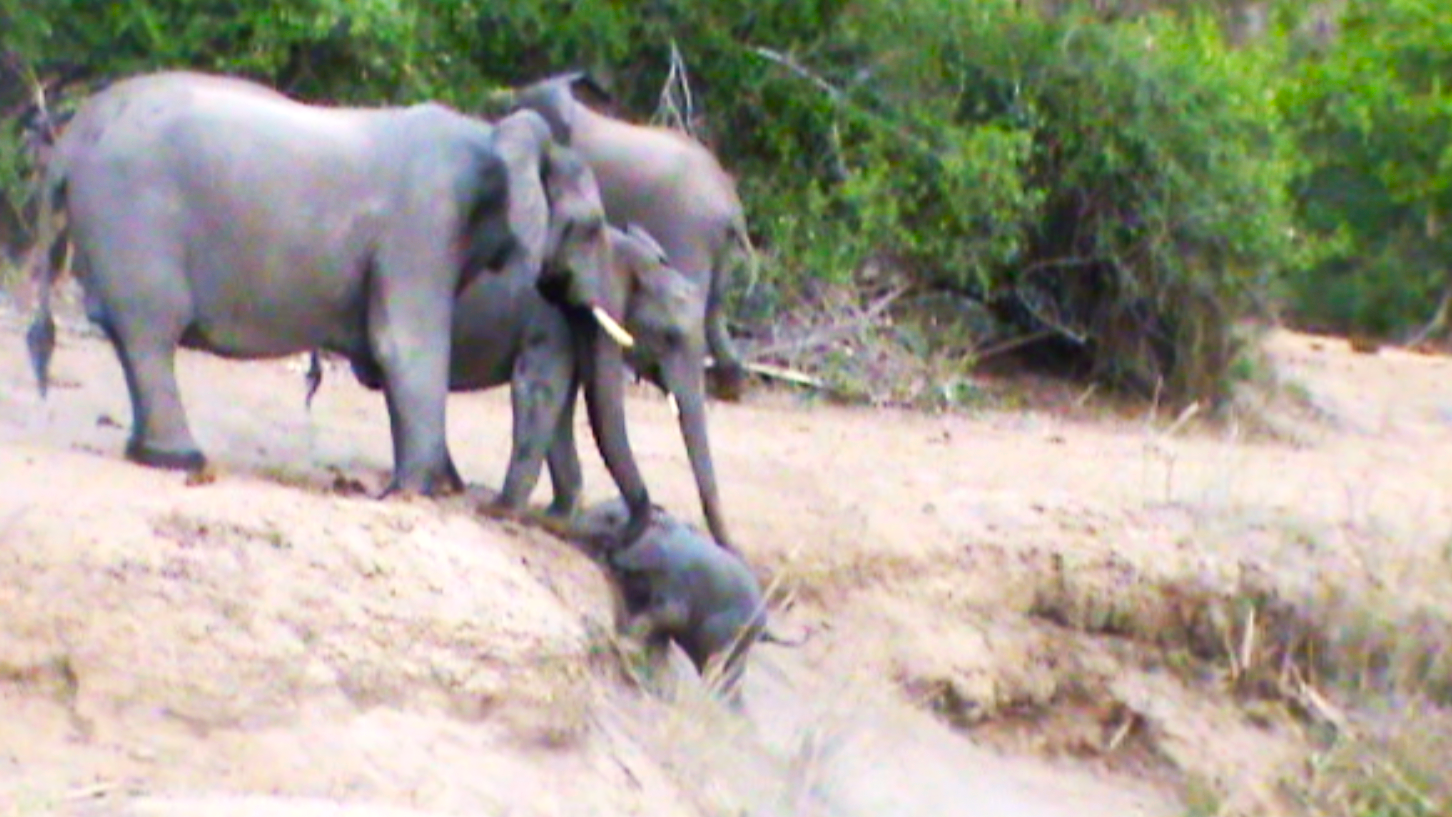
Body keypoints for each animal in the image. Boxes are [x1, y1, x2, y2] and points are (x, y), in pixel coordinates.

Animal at [23, 71, 648, 530]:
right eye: (591, 228)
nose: (642, 521)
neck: (493, 134)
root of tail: (68, 143)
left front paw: (436, 485)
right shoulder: (424, 220)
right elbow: (406, 344)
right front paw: (420, 492)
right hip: (135, 222)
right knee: (151, 333)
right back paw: (180, 459)